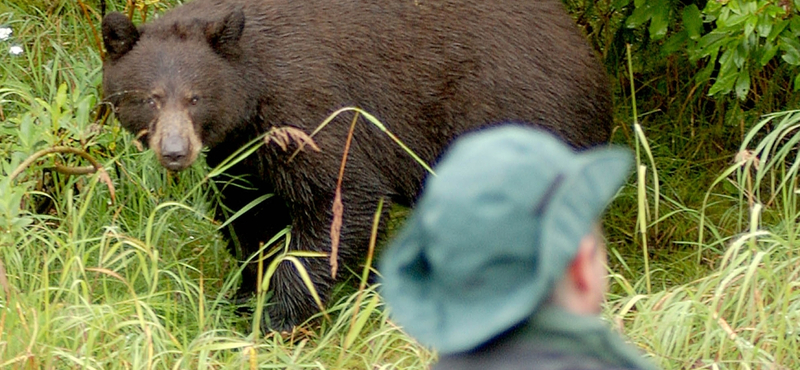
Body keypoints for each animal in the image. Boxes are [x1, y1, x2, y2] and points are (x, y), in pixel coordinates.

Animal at [101, 0, 612, 332]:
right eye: (149, 98)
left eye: (195, 98)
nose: (174, 152)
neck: (254, 85)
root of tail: (589, 58)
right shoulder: (242, 149)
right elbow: (248, 213)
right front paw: (246, 296)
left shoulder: (310, 106)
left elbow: (339, 199)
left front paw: (281, 320)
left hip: (518, 119)